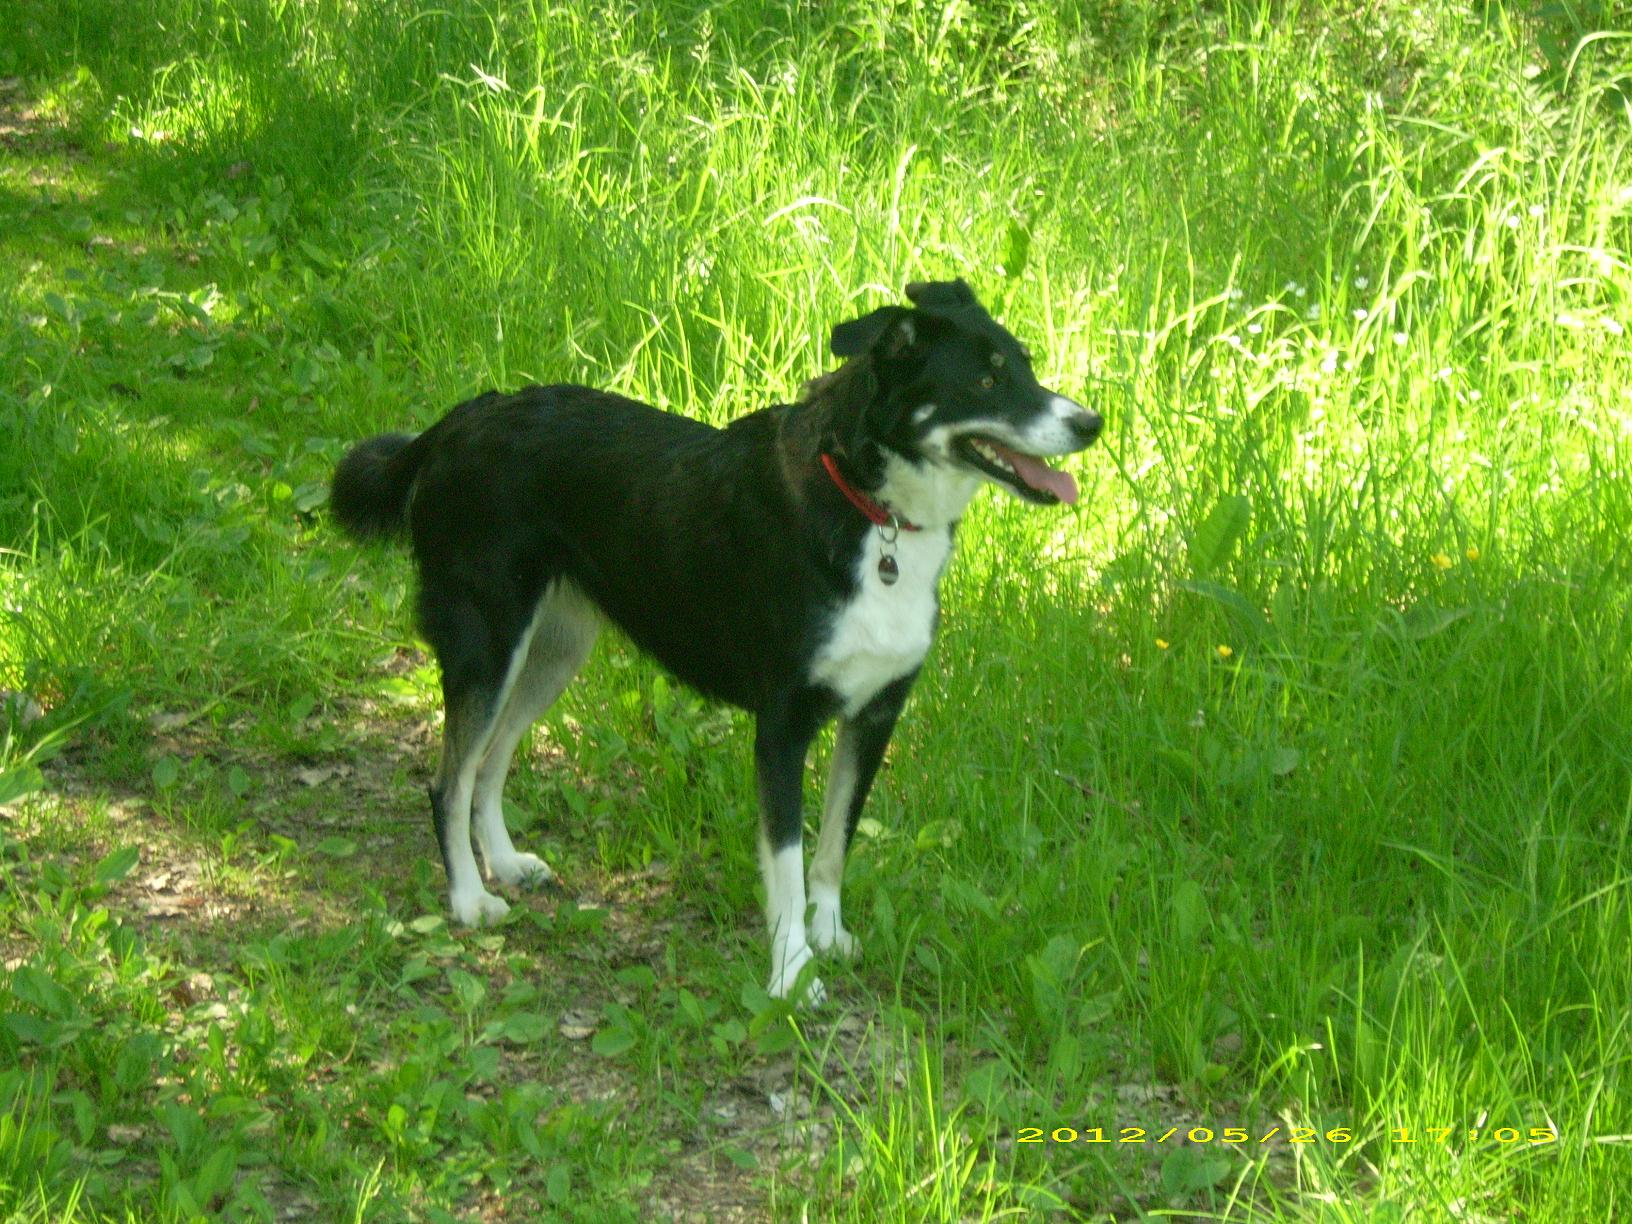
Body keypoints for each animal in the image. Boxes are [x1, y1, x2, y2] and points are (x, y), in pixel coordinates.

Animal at [326, 280, 1103, 1005]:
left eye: (1025, 365)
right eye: (985, 381)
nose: (1091, 423)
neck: (870, 508)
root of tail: (460, 419)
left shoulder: (875, 713)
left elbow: (833, 849)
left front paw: (829, 935)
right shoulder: (783, 727)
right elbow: (787, 866)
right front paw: (793, 973)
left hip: (552, 650)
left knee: (488, 765)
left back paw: (508, 864)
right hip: (488, 644)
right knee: (448, 780)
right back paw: (467, 897)